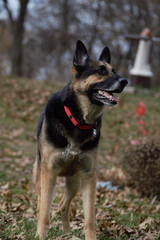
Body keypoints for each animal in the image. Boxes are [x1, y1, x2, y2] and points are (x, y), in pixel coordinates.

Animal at [33, 40, 127, 239]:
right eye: (101, 71)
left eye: (114, 70)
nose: (125, 81)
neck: (79, 119)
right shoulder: (49, 173)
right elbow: (44, 212)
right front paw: (41, 235)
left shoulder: (89, 177)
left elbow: (89, 217)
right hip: (40, 176)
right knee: (40, 204)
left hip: (74, 181)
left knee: (63, 205)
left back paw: (67, 233)